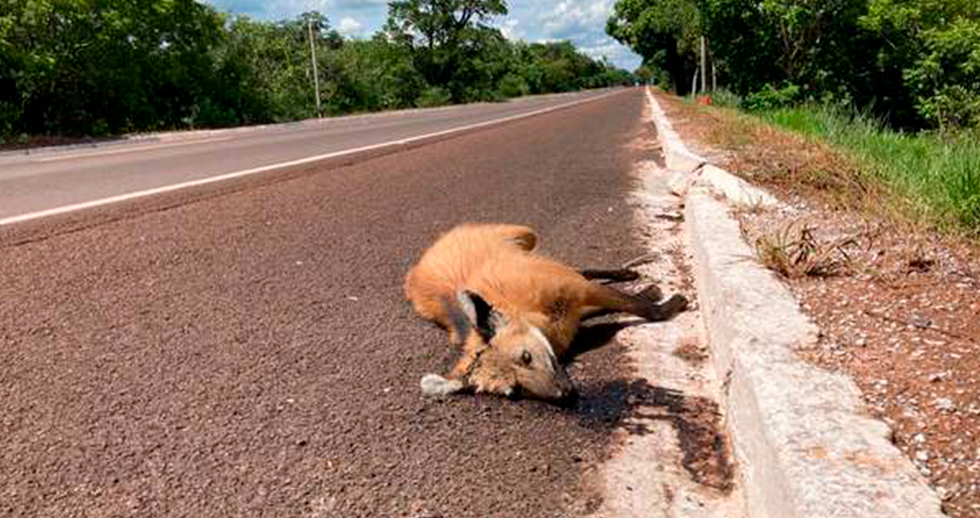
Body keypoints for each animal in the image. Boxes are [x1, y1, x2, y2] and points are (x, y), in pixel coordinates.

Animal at [402, 223, 684, 406]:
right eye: (516, 391)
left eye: (526, 357)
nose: (566, 397)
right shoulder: (572, 314)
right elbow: (608, 307)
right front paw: (649, 292)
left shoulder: (573, 290)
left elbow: (636, 306)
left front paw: (665, 302)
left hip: (526, 236)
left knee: (579, 269)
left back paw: (625, 273)